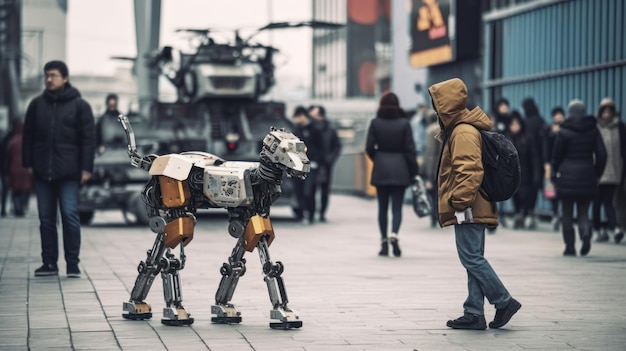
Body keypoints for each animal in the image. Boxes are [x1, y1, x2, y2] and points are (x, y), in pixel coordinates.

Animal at [117, 114, 310, 328]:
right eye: (285, 149)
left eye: (302, 148)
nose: (306, 165)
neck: (257, 177)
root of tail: (153, 162)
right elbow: (268, 266)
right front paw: (282, 314)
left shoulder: (250, 214)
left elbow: (239, 257)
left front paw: (224, 308)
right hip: (173, 195)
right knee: (166, 251)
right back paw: (152, 308)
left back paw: (143, 305)